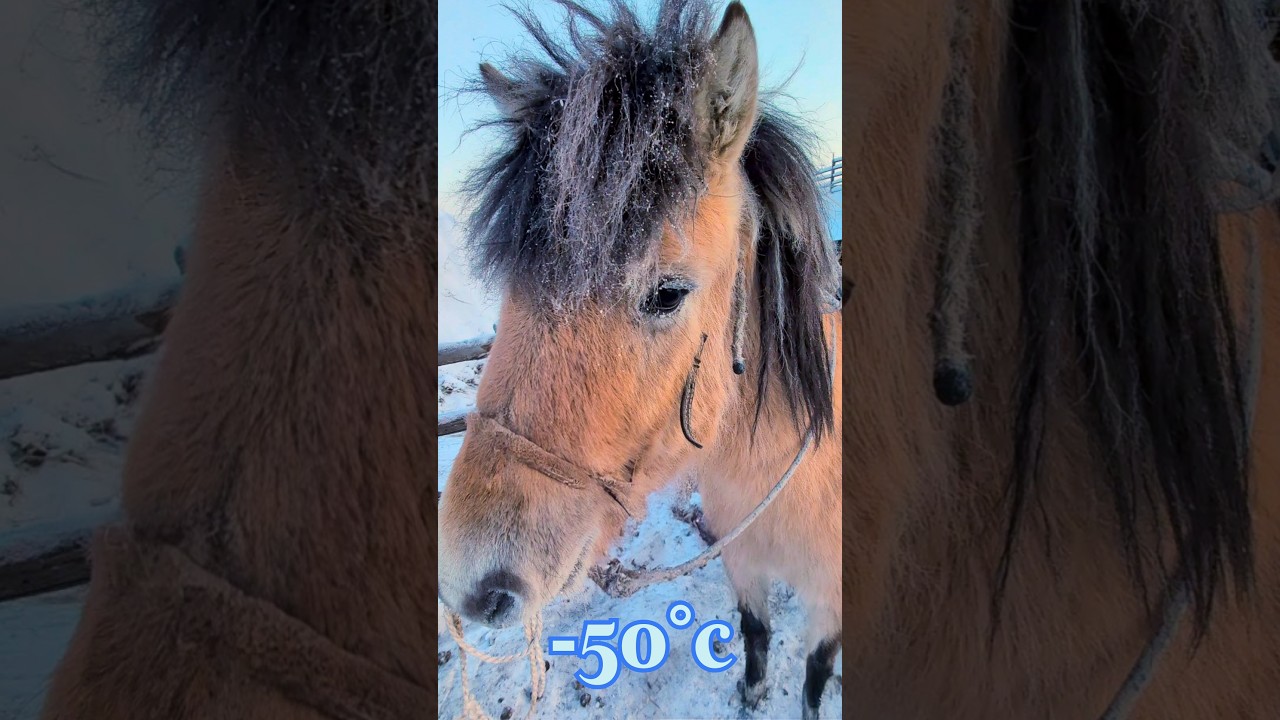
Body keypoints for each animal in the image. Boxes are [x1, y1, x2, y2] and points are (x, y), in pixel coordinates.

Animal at [435, 1, 842, 718]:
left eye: (666, 294)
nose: (470, 583)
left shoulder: (832, 606)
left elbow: (816, 673)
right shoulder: (743, 565)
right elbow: (755, 632)